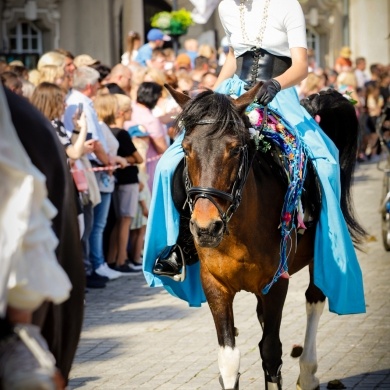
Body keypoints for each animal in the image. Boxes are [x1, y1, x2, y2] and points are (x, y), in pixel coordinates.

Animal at [165, 84, 366, 390]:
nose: (206, 228)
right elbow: (229, 360)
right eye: (186, 149)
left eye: (235, 149)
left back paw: (308, 372)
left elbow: (271, 351)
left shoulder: (275, 284)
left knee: (314, 299)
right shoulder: (215, 285)